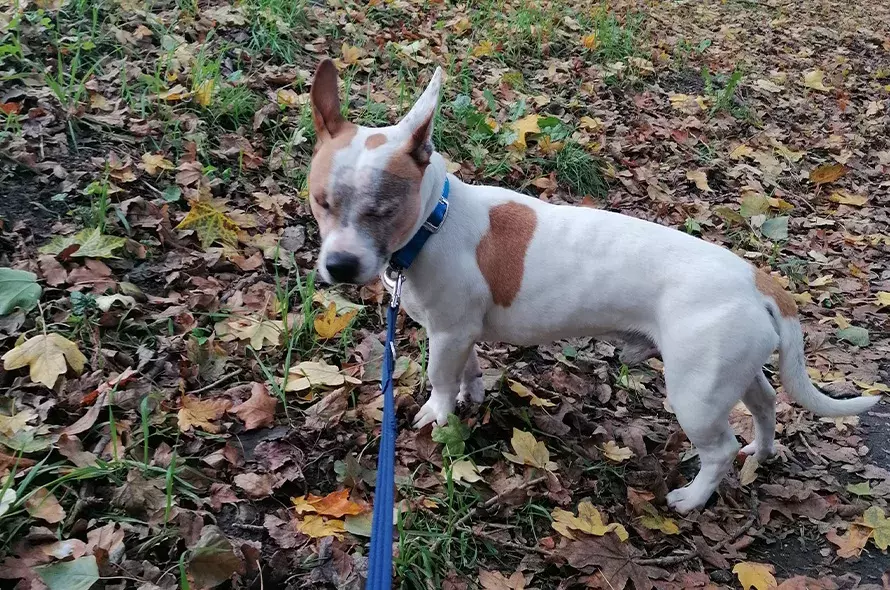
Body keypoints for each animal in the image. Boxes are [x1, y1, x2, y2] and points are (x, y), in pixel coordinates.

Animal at [305, 59, 880, 513]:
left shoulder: (447, 335)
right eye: (321, 202)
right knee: (764, 404)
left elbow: (440, 381)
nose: (339, 265)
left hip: (695, 392)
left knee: (717, 449)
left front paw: (439, 416)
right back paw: (761, 453)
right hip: (730, 373)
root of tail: (759, 280)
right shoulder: (461, 335)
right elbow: (467, 371)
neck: (435, 219)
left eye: (382, 210)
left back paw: (692, 498)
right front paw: (472, 394)